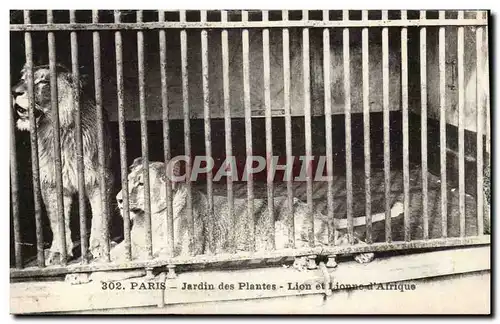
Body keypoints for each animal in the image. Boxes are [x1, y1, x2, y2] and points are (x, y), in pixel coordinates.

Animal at [11, 63, 114, 264]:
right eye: (22, 78)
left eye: (43, 81)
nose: (14, 91)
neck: (59, 132)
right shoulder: (51, 183)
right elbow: (57, 219)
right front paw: (59, 252)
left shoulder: (100, 178)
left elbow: (100, 214)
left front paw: (100, 246)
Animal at [111, 159, 404, 264]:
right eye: (127, 180)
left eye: (140, 184)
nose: (118, 199)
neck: (147, 219)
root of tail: (313, 209)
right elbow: (120, 250)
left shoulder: (185, 249)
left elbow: (146, 254)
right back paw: (302, 260)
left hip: (306, 227)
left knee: (347, 239)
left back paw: (364, 254)